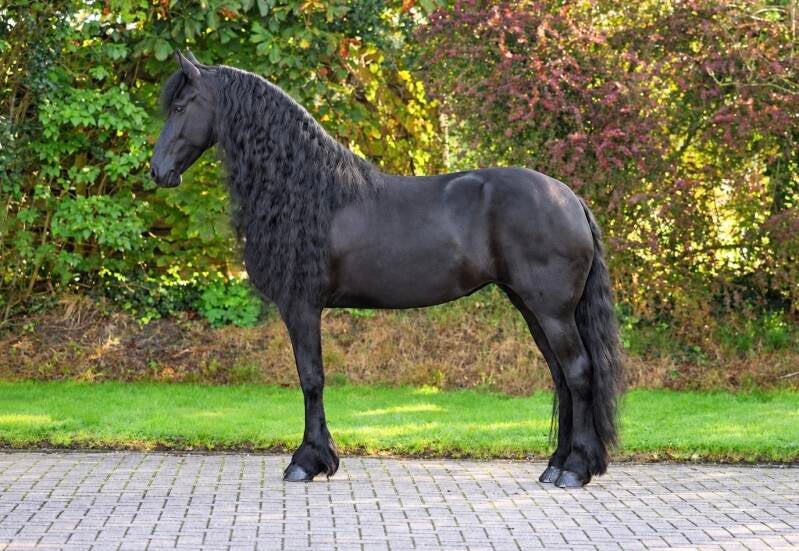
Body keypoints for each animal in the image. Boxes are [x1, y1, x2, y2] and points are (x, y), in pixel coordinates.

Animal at [150, 51, 623, 488]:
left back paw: (574, 470)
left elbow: (311, 378)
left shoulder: (301, 306)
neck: (305, 191)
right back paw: (556, 465)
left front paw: (308, 461)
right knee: (561, 378)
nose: (158, 171)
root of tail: (570, 198)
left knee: (578, 372)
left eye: (181, 106)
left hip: (551, 311)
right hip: (532, 307)